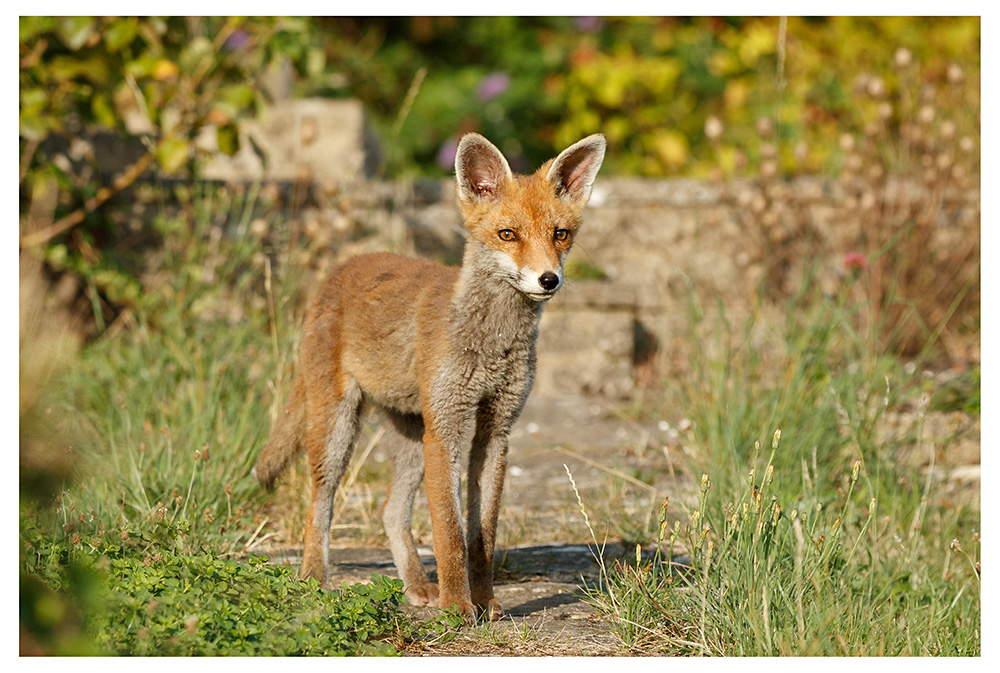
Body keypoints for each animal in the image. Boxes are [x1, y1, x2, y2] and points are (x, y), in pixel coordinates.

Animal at [253, 131, 606, 621]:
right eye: (508, 235)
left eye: (561, 234)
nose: (548, 279)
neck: (492, 342)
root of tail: (343, 268)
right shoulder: (447, 427)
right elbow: (448, 532)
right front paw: (458, 608)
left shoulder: (495, 431)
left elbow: (482, 535)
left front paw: (485, 602)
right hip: (340, 429)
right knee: (319, 507)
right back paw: (314, 581)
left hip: (411, 436)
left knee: (390, 512)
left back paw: (417, 587)